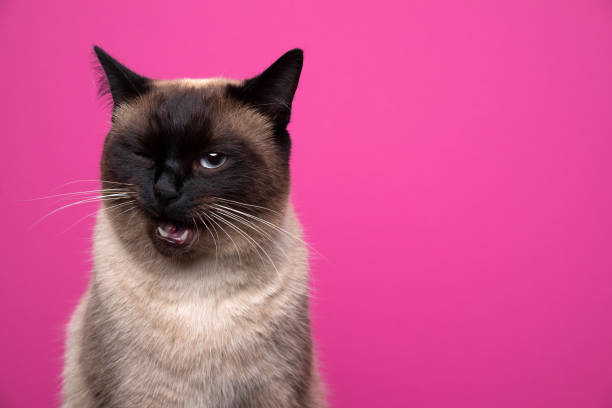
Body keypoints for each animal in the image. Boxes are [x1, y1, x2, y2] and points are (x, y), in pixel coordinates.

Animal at [62, 46, 328, 406]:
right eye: (144, 155)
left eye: (212, 160)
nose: (165, 190)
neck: (197, 294)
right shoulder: (140, 396)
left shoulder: (274, 392)